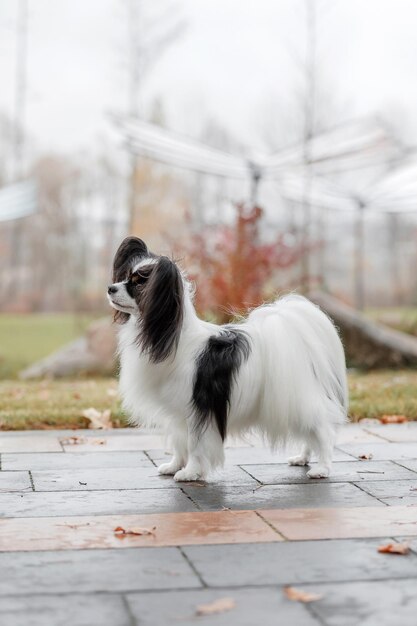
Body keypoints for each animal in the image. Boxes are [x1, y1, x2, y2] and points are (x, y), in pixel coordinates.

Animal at [108, 235, 348, 478]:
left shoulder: (199, 407)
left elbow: (194, 444)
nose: (110, 288)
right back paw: (302, 458)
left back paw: (322, 468)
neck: (171, 334)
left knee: (323, 432)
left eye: (138, 283)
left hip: (299, 400)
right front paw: (175, 466)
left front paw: (190, 472)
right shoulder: (178, 413)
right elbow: (179, 442)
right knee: (311, 435)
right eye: (126, 276)